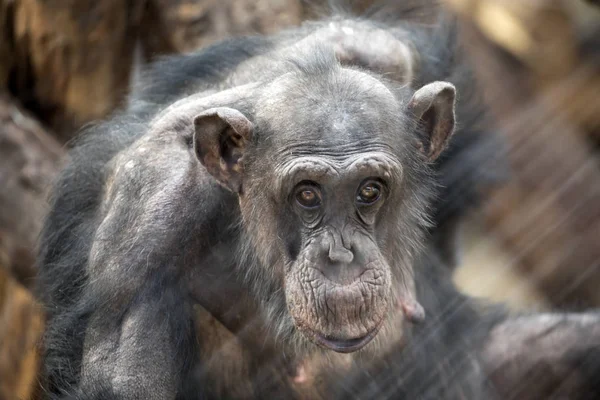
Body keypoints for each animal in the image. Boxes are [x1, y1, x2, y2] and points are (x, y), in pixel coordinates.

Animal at [36, 0, 600, 400]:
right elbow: (126, 378)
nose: (340, 256)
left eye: (370, 190)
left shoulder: (385, 54)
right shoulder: (149, 222)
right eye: (307, 195)